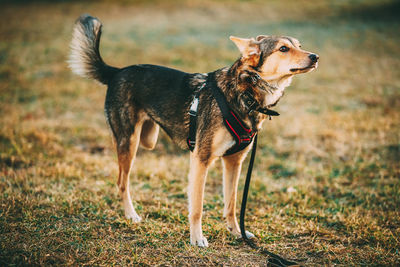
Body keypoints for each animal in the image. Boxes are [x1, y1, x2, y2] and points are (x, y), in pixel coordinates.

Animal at [69, 14, 318, 249]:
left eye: (299, 44)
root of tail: (117, 72)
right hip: (128, 142)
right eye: (283, 49)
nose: (315, 57)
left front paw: (237, 232)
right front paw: (197, 239)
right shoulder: (201, 158)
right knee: (122, 182)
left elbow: (231, 203)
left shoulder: (234, 162)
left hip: (148, 138)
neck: (245, 92)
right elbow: (197, 207)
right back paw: (131, 215)